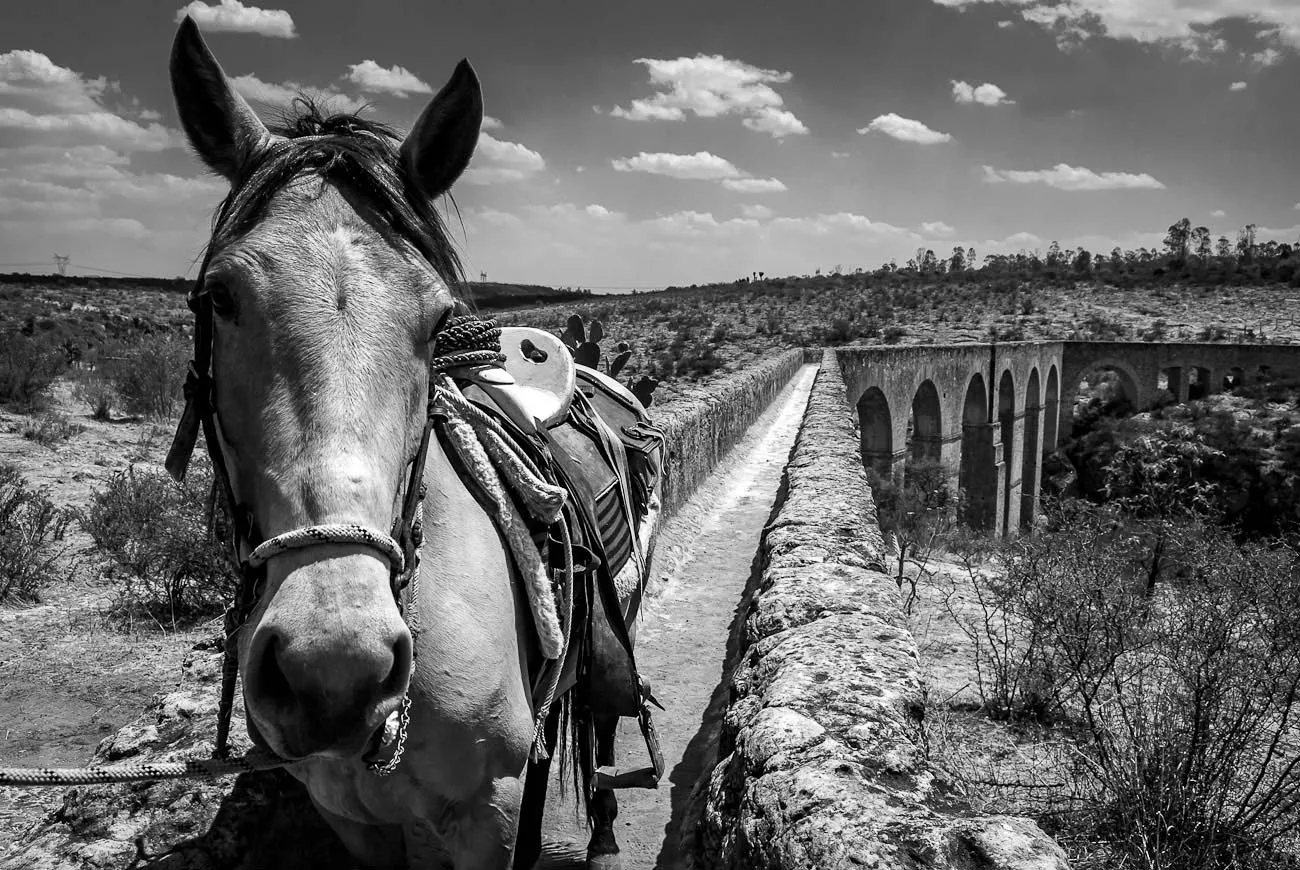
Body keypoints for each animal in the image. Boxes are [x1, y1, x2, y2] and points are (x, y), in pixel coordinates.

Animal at [163, 16, 655, 863]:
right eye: (217, 296)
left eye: (437, 318)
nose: (334, 669)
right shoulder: (354, 822)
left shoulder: (487, 815)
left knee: (602, 721)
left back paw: (603, 825)